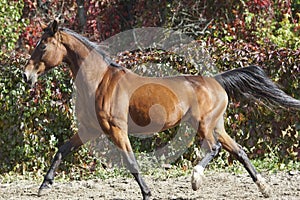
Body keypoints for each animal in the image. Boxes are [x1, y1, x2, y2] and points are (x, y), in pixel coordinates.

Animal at [23, 20, 300, 200]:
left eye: (43, 46)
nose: (26, 76)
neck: (101, 81)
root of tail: (216, 81)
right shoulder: (91, 130)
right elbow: (62, 150)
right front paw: (44, 186)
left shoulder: (116, 130)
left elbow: (131, 162)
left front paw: (147, 193)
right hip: (217, 125)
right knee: (239, 151)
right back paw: (264, 188)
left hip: (203, 125)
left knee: (214, 149)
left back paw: (196, 179)